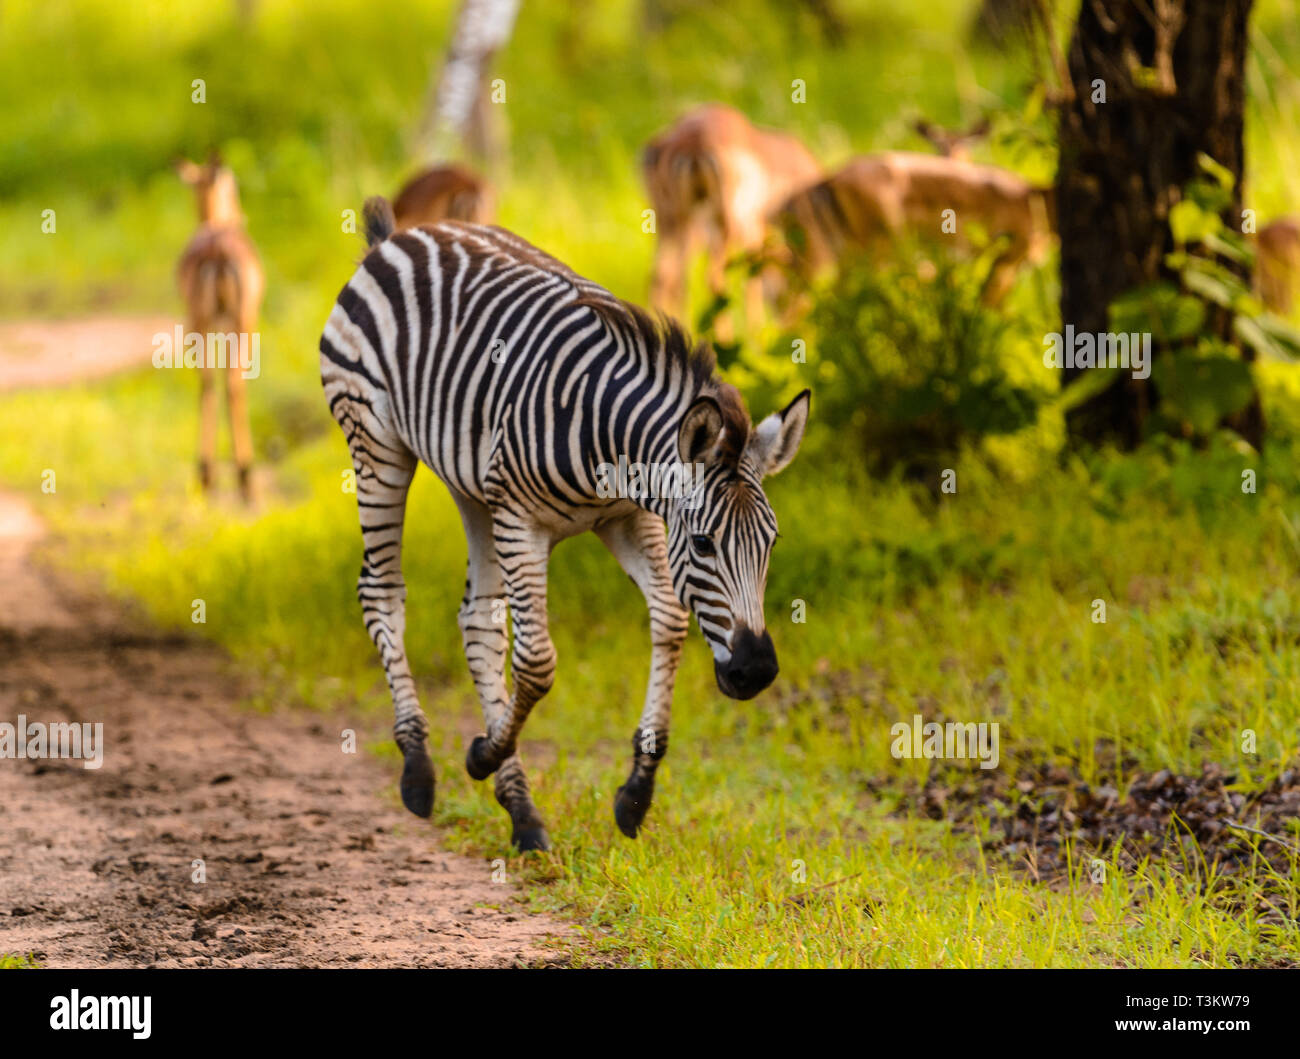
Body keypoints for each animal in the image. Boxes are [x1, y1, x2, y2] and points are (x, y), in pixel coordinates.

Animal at [317, 198, 800, 852]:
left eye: (771, 543)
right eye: (703, 543)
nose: (756, 672)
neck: (613, 444)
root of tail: (402, 236)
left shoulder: (630, 520)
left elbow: (671, 621)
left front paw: (635, 793)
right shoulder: (524, 522)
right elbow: (538, 663)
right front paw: (480, 754)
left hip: (474, 486)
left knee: (479, 620)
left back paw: (521, 810)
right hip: (375, 443)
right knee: (382, 591)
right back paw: (419, 768)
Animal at [642, 104, 816, 331]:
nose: (795, 325)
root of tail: (694, 143)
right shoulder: (752, 225)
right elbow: (753, 274)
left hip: (674, 220)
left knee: (665, 276)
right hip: (720, 220)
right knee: (711, 279)